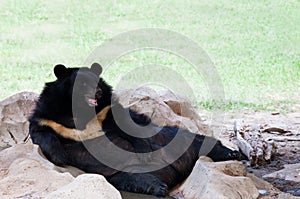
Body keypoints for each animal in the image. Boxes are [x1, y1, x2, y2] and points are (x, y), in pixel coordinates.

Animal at [28, 63, 244, 197]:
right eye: (82, 83)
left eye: (97, 83)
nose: (97, 92)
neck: (80, 110)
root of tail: (172, 170)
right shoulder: (50, 116)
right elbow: (42, 132)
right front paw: (60, 156)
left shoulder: (105, 110)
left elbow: (127, 123)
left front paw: (144, 150)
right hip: (120, 173)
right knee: (139, 179)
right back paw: (159, 187)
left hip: (173, 137)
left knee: (198, 140)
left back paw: (230, 153)